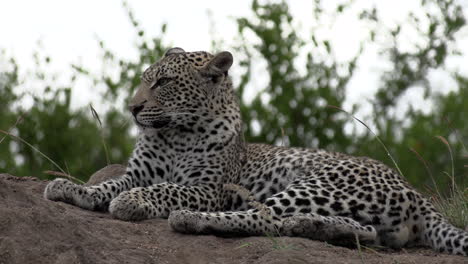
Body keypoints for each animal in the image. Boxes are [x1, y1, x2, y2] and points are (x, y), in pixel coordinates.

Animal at [42, 47, 466, 256]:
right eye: (145, 80)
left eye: (163, 82)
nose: (132, 108)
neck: (174, 133)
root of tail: (413, 192)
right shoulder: (139, 172)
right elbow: (108, 184)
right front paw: (71, 189)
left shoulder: (207, 189)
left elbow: (165, 189)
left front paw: (132, 203)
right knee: (366, 233)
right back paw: (310, 226)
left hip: (315, 183)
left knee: (263, 218)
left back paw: (191, 219)